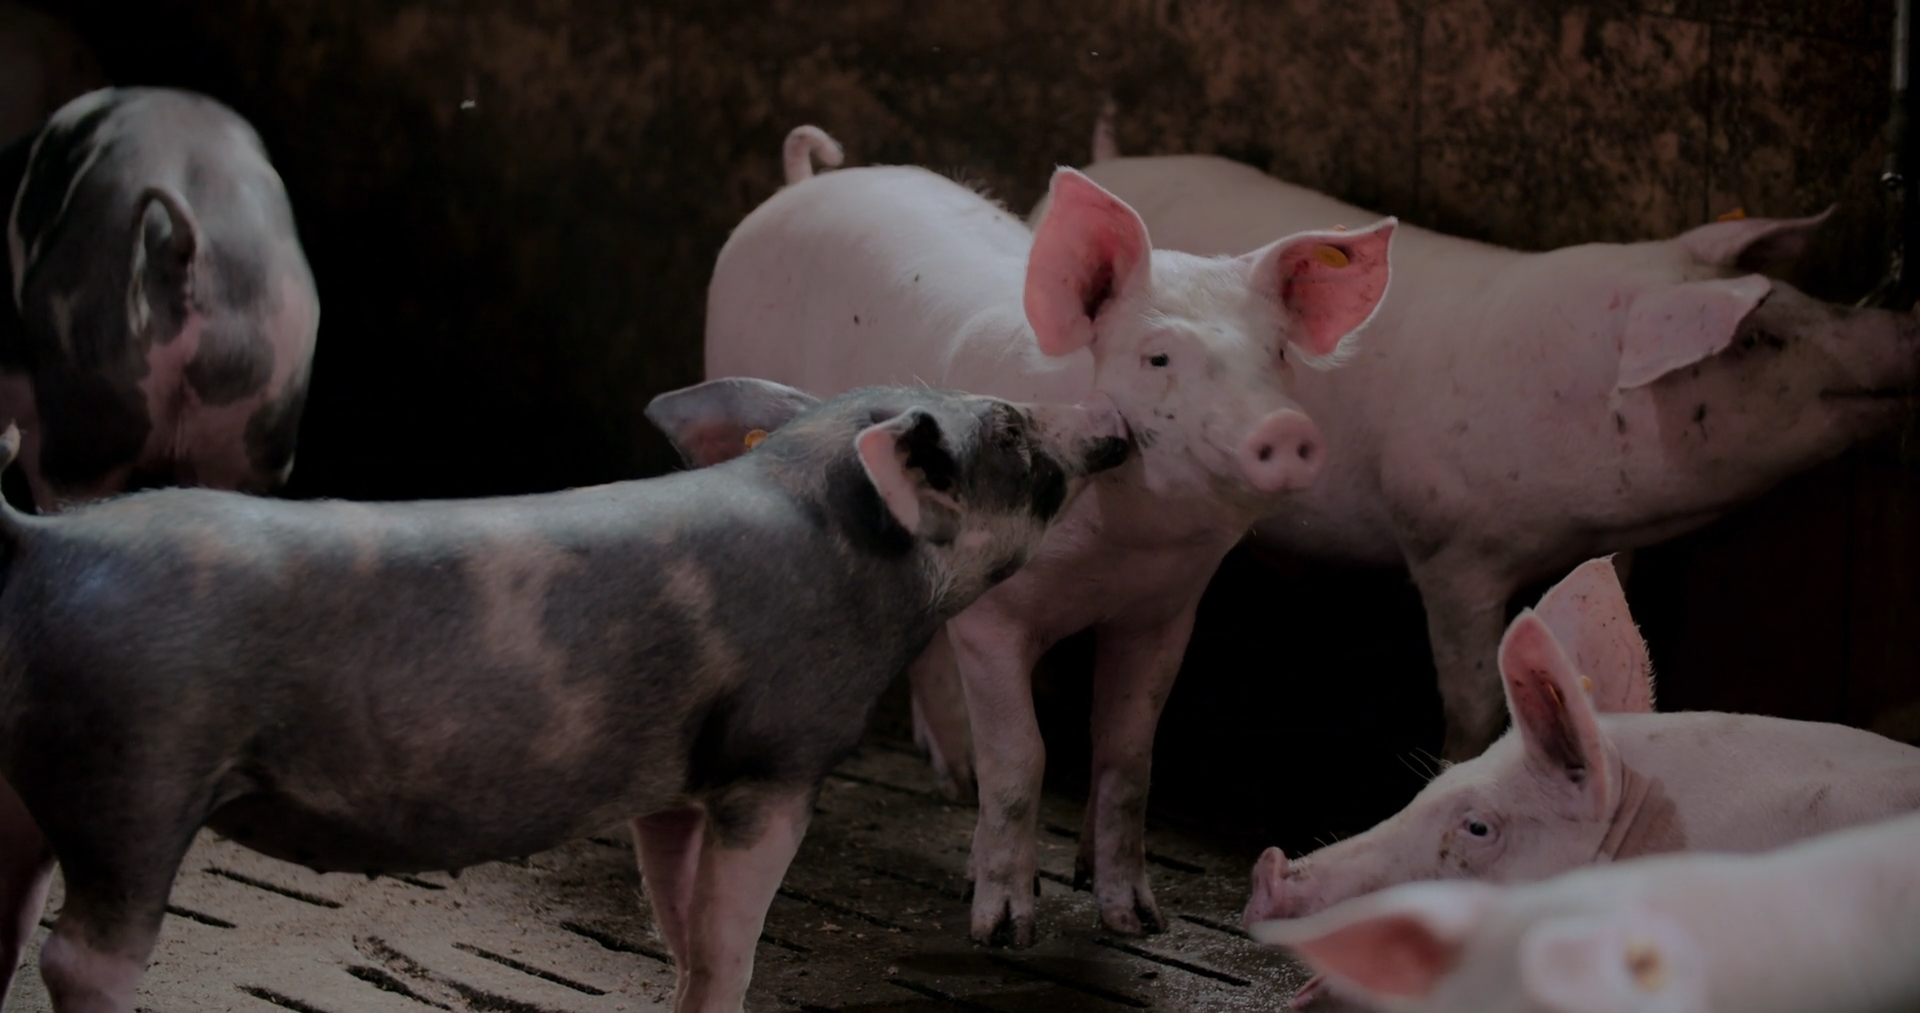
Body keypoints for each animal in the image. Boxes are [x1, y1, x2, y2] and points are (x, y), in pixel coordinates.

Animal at [0, 378, 1128, 1013]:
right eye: (1012, 437)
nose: (1117, 426)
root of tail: (43, 541)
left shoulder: (676, 778)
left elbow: (681, 920)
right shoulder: (776, 757)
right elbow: (732, 940)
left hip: (35, 776)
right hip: (140, 771)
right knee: (81, 956)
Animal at [705, 126, 1396, 944]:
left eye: (1280, 355)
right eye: (1158, 356)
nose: (1285, 430)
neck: (1120, 550)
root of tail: (803, 181)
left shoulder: (1165, 612)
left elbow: (1128, 757)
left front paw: (1136, 920)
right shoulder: (994, 618)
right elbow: (1023, 758)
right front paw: (1005, 931)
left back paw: (953, 782)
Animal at [1034, 115, 1920, 761]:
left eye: (1803, 297)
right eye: (1757, 337)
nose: (1901, 324)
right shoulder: (1446, 541)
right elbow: (1471, 691)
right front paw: (1462, 759)